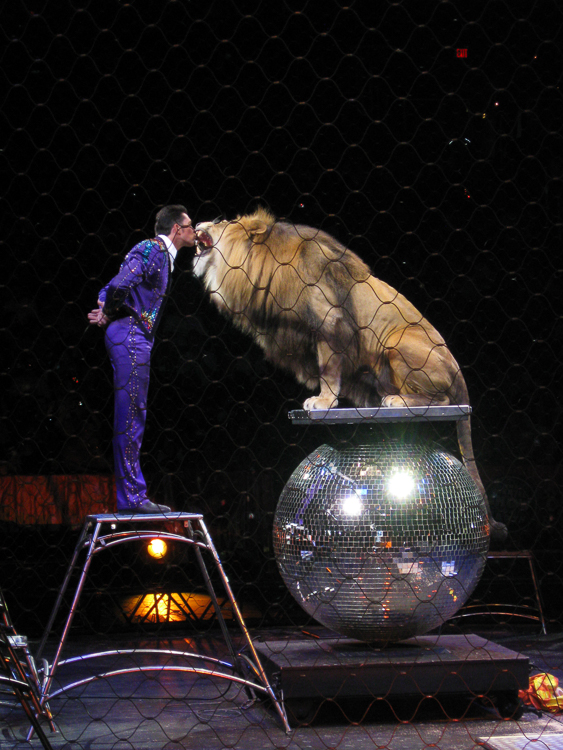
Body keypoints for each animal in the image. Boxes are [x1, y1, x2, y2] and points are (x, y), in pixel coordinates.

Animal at [193, 208, 506, 541]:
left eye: (221, 221)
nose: (197, 222)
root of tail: (459, 371)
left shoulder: (329, 323)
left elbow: (328, 371)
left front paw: (322, 402)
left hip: (396, 342)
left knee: (445, 399)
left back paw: (397, 401)